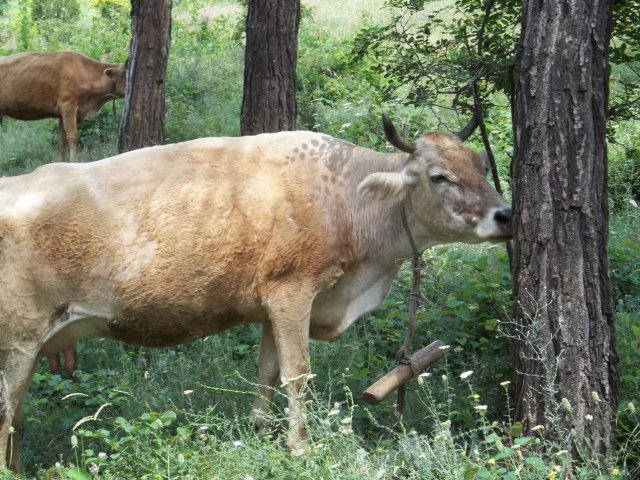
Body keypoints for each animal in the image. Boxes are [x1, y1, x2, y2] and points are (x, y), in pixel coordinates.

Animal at [0, 115, 512, 472]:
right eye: (439, 175)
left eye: (481, 165)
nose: (506, 215)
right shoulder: (293, 290)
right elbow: (297, 373)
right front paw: (300, 448)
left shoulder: (270, 304)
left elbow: (267, 370)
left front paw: (259, 432)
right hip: (19, 338)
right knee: (8, 410)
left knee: (16, 415)